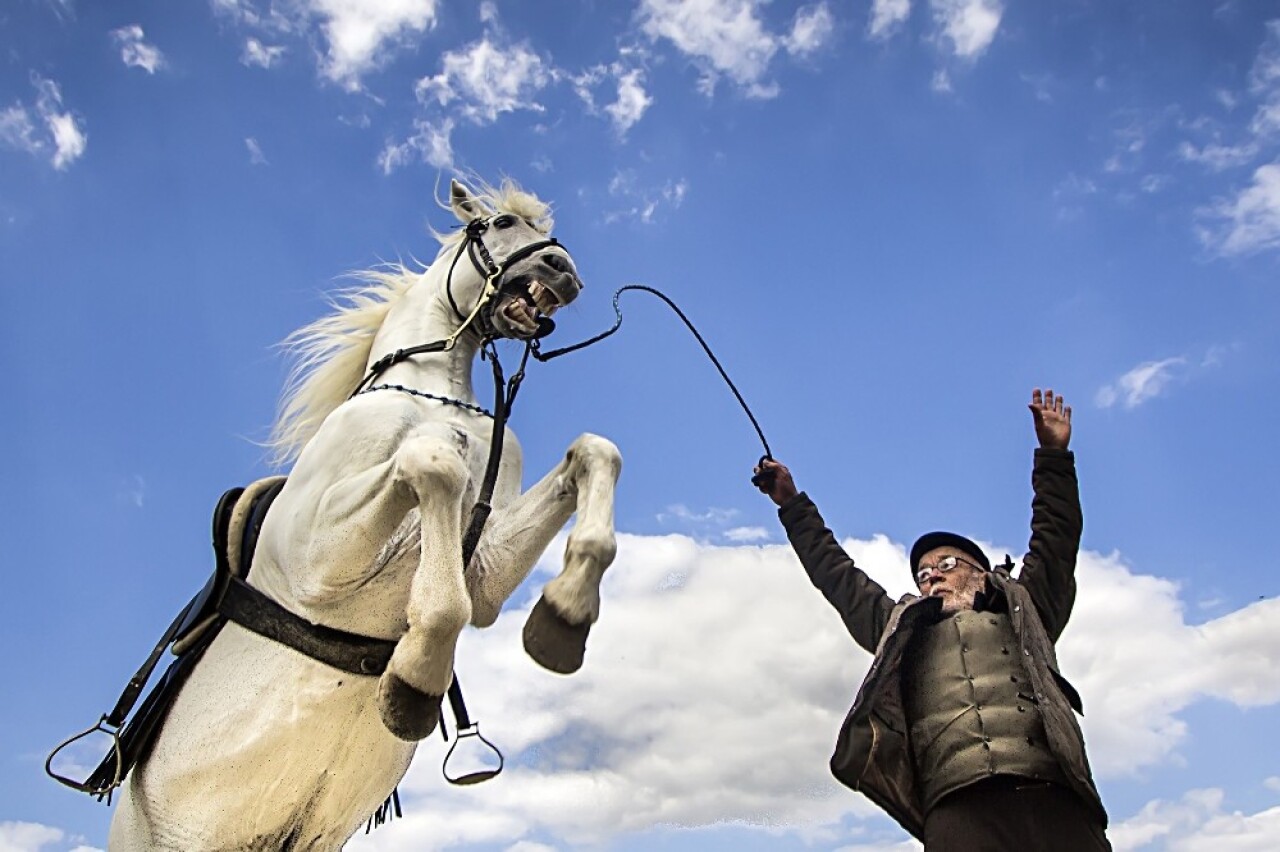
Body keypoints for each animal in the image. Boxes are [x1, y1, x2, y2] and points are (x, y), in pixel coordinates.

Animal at [112, 175, 622, 844]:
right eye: (501, 223)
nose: (564, 272)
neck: (433, 392)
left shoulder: (484, 568)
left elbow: (595, 452)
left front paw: (564, 616)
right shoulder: (316, 558)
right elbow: (435, 463)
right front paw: (414, 682)